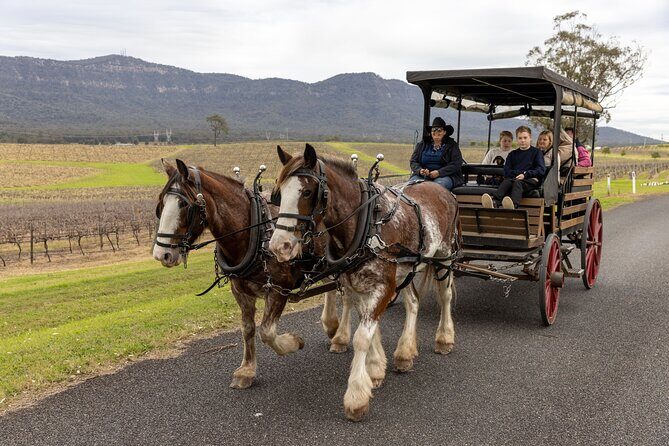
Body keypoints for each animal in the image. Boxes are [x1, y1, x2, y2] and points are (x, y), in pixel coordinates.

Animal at [152, 159, 352, 389]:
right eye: (161, 203)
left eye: (184, 204)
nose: (161, 254)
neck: (254, 231)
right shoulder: (240, 290)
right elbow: (248, 329)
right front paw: (247, 370)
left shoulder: (279, 288)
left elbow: (267, 332)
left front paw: (293, 342)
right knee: (333, 288)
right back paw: (331, 326)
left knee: (348, 296)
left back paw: (341, 337)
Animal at [268, 144, 460, 421]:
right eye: (279, 193)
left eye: (306, 191)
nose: (279, 246)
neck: (365, 224)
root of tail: (441, 189)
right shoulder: (357, 284)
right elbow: (370, 328)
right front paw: (375, 368)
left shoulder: (382, 286)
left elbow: (362, 337)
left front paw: (356, 396)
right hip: (407, 267)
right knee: (413, 302)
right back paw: (405, 352)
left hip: (445, 255)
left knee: (445, 296)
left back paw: (444, 338)